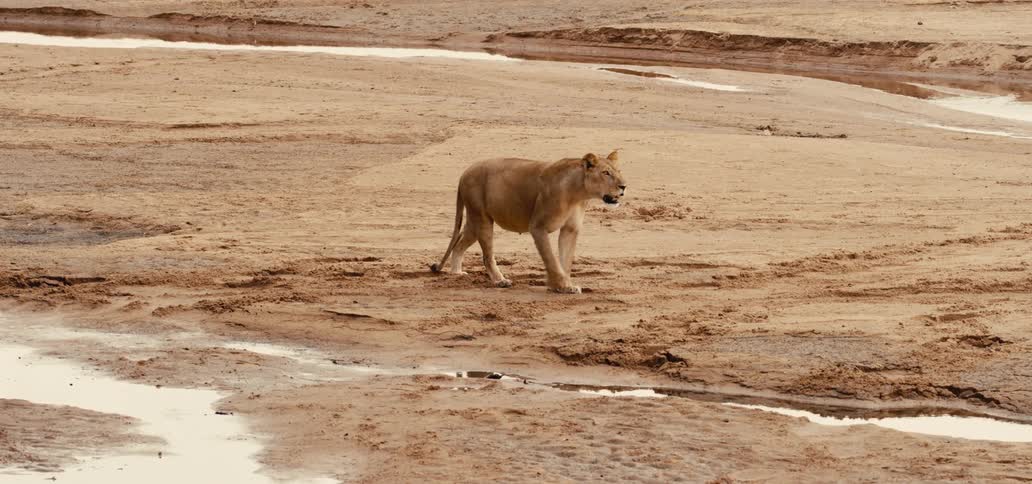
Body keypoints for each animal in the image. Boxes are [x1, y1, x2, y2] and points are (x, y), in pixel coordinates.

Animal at [430, 150, 627, 294]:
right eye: (606, 173)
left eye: (619, 172)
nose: (624, 186)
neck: (578, 193)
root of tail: (465, 173)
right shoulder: (538, 227)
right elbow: (551, 259)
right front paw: (560, 286)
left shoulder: (570, 229)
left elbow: (565, 260)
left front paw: (566, 284)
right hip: (482, 219)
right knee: (487, 256)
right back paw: (500, 281)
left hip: (475, 220)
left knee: (459, 244)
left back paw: (457, 273)